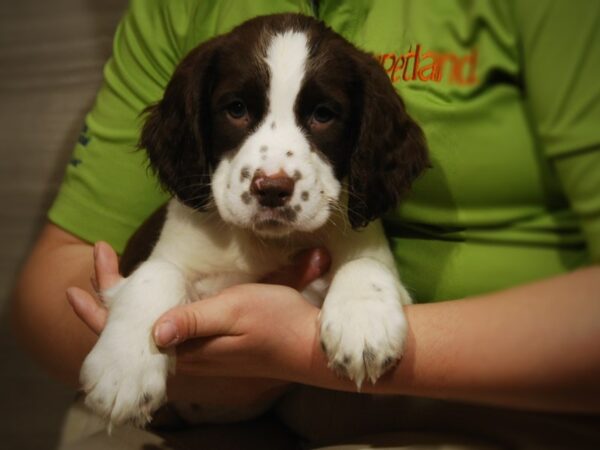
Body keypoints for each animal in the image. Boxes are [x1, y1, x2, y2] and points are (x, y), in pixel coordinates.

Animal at [79, 13, 428, 426]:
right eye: (236, 109)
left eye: (323, 115)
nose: (272, 189)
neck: (267, 243)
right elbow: (157, 272)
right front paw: (123, 371)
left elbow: (365, 266)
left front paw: (364, 327)